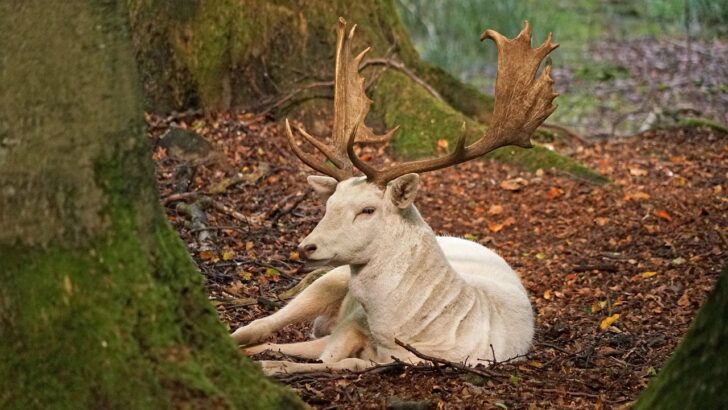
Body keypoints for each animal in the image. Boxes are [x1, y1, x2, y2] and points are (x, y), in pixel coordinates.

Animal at [232, 17, 558, 376]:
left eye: (368, 209)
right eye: (328, 205)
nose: (307, 247)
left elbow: (338, 363)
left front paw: (270, 366)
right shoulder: (351, 323)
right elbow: (322, 355)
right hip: (330, 278)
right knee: (259, 324)